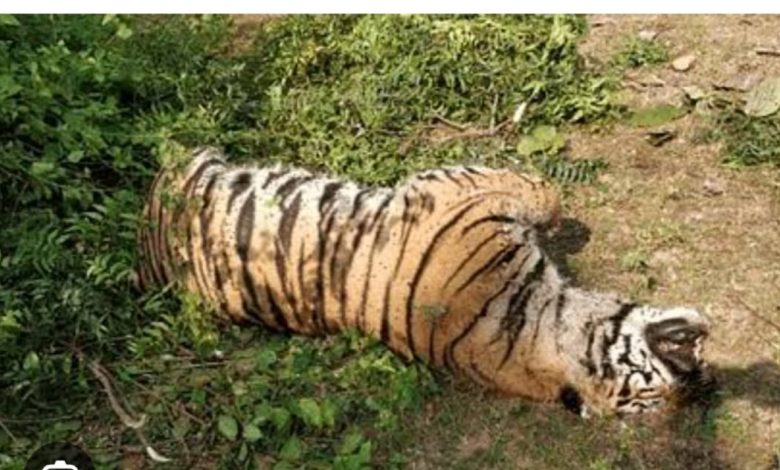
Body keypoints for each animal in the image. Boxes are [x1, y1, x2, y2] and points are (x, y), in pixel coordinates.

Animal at [137, 147, 711, 417]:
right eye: (656, 387)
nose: (700, 372)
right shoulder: (461, 187)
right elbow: (544, 191)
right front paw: (560, 219)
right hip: (191, 165)